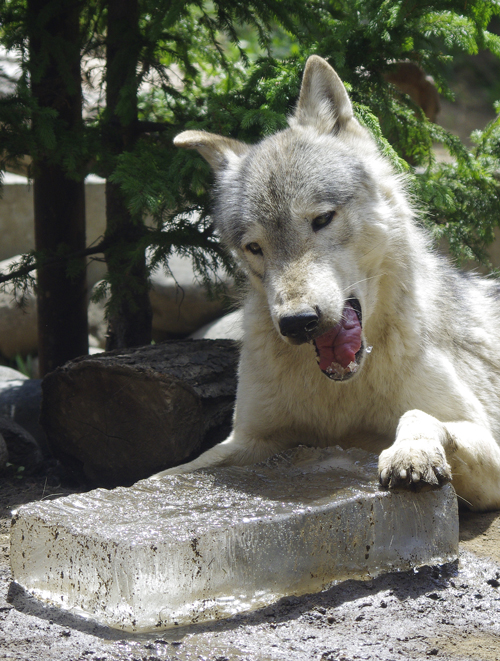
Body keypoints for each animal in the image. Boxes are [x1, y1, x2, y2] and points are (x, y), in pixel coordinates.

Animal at [151, 55, 500, 510]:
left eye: (321, 220)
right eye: (254, 247)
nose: (297, 323)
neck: (340, 397)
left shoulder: (487, 444)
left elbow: (419, 415)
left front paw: (411, 453)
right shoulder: (245, 440)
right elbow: (164, 474)